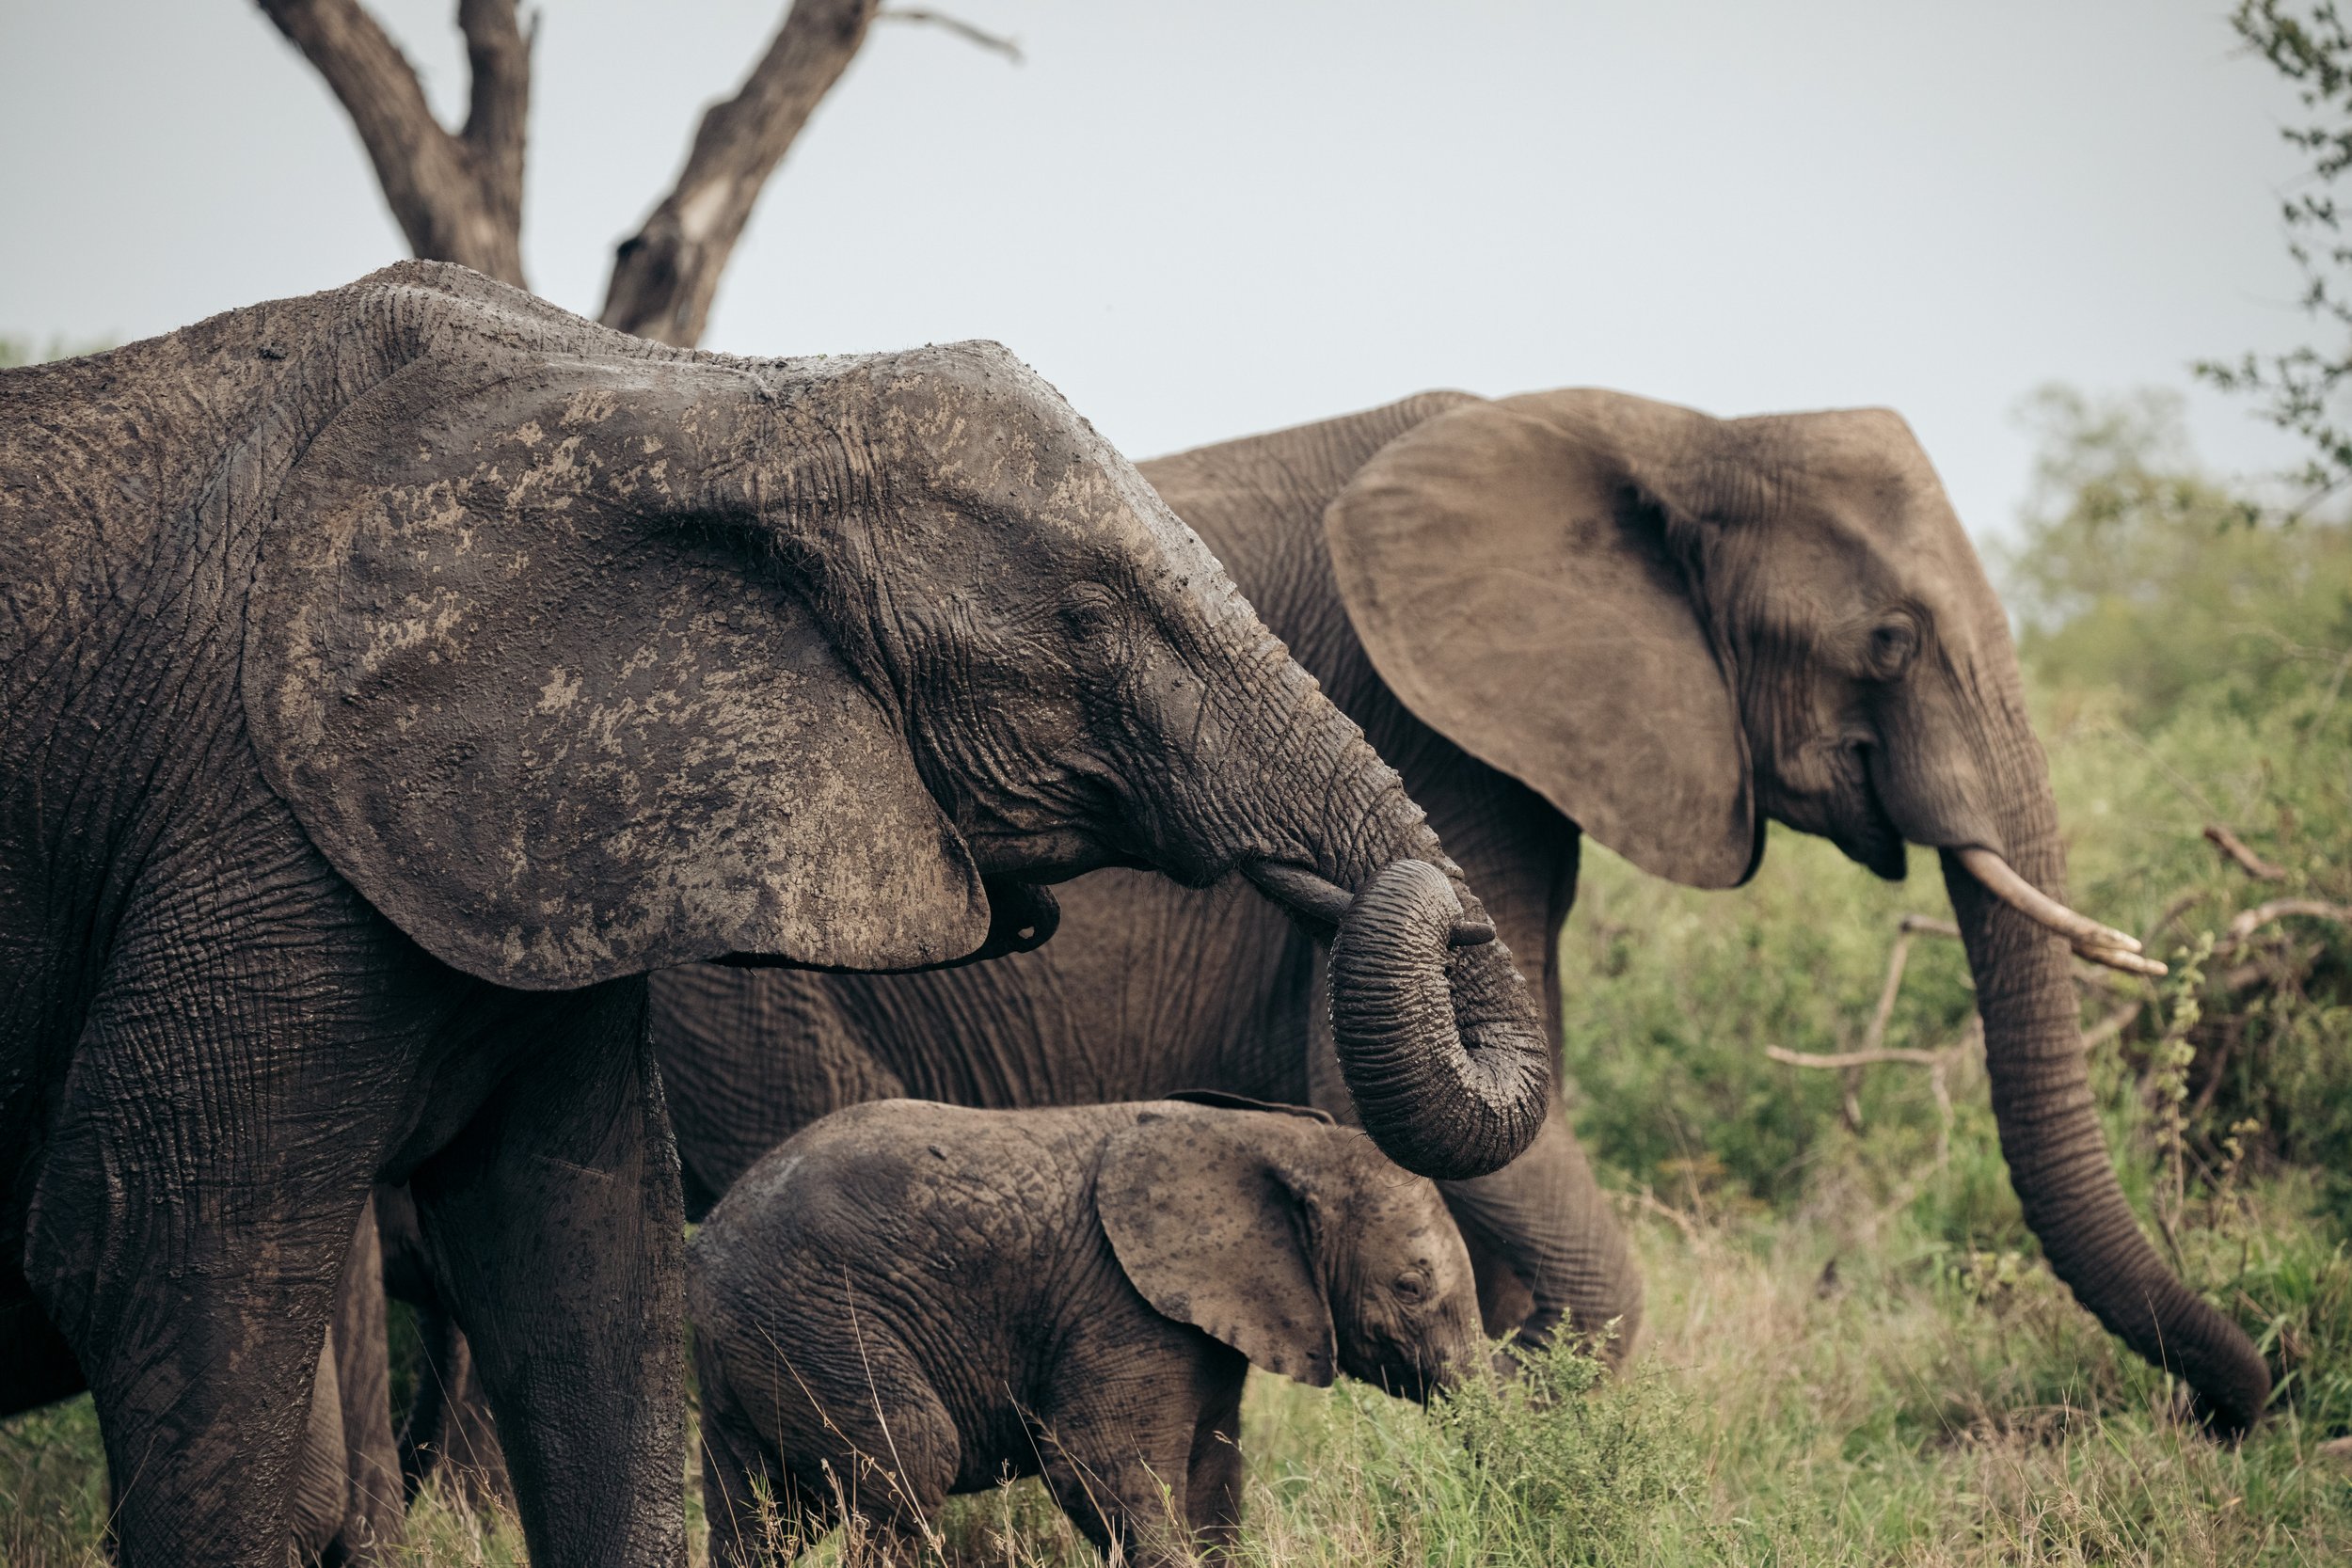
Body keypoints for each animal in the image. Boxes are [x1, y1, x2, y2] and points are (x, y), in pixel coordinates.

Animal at [687, 1100, 1477, 1560]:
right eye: (1410, 1287)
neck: (1277, 1138)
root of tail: (701, 1255)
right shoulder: (1125, 1306)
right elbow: (1103, 1469)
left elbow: (1213, 1478)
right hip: (814, 1322)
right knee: (910, 1463)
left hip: (756, 1349)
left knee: (759, 1515)